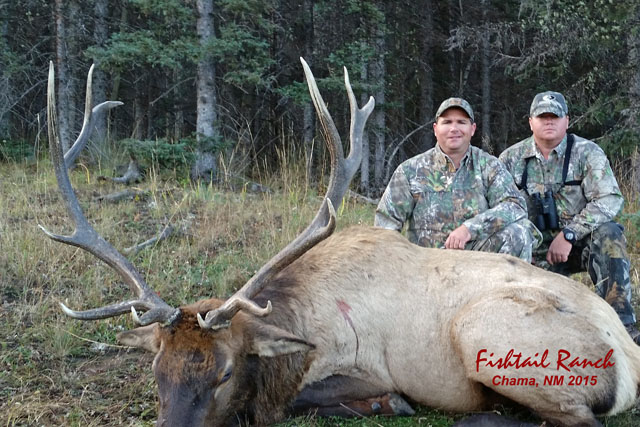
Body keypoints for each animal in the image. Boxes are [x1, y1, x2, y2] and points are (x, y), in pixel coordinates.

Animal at [42, 58, 640, 427]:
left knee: (574, 417)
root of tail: (630, 359)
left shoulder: (359, 367)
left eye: (225, 371)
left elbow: (306, 402)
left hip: (491, 337)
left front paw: (389, 404)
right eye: (157, 370)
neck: (299, 319)